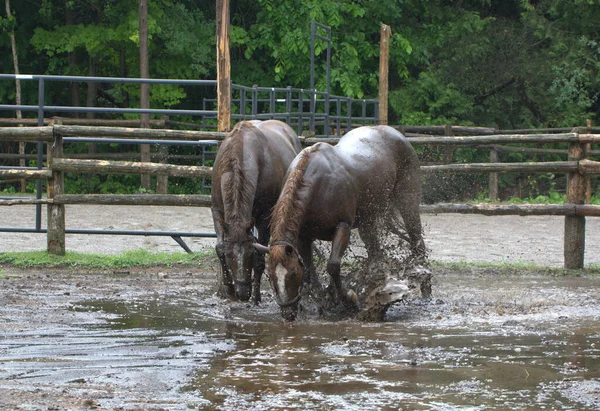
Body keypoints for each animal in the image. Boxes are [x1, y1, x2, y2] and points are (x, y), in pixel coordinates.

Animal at [212, 120, 304, 306]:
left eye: (249, 254)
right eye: (230, 256)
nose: (242, 293)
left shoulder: (263, 220)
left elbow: (260, 259)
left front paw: (255, 298)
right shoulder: (217, 211)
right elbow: (219, 247)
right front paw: (228, 288)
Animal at [253, 125, 426, 322]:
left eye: (293, 273)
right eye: (270, 276)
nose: (288, 313)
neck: (318, 185)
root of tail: (397, 134)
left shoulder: (343, 228)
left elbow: (333, 266)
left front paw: (346, 300)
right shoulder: (304, 238)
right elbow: (310, 271)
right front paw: (318, 303)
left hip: (407, 204)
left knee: (417, 242)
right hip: (368, 222)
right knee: (376, 254)